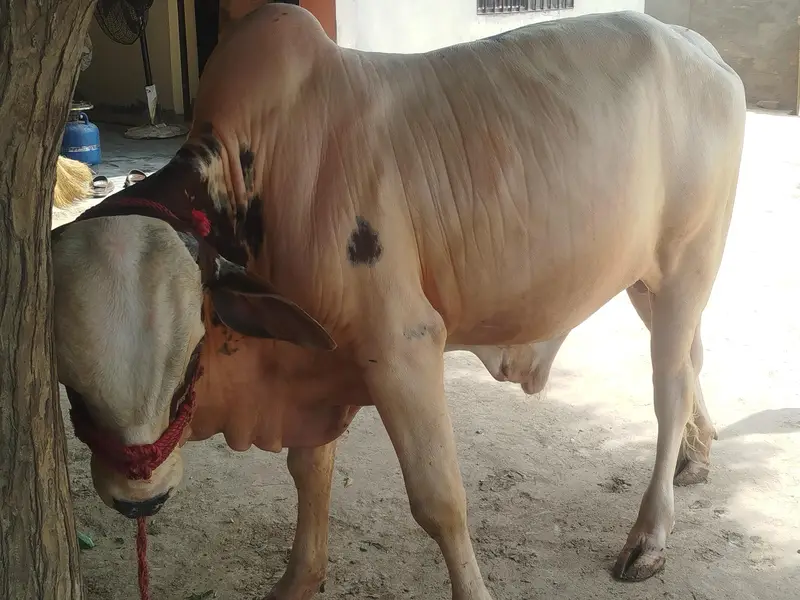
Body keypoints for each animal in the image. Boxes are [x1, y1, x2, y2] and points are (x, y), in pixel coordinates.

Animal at [51, 5, 745, 599]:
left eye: (190, 354)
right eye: (69, 383)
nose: (138, 499)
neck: (254, 170)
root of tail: (701, 49)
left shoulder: (401, 345)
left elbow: (439, 502)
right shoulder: (317, 353)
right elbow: (309, 470)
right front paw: (299, 578)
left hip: (689, 262)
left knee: (669, 386)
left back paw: (650, 535)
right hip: (648, 279)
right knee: (694, 359)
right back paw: (697, 453)